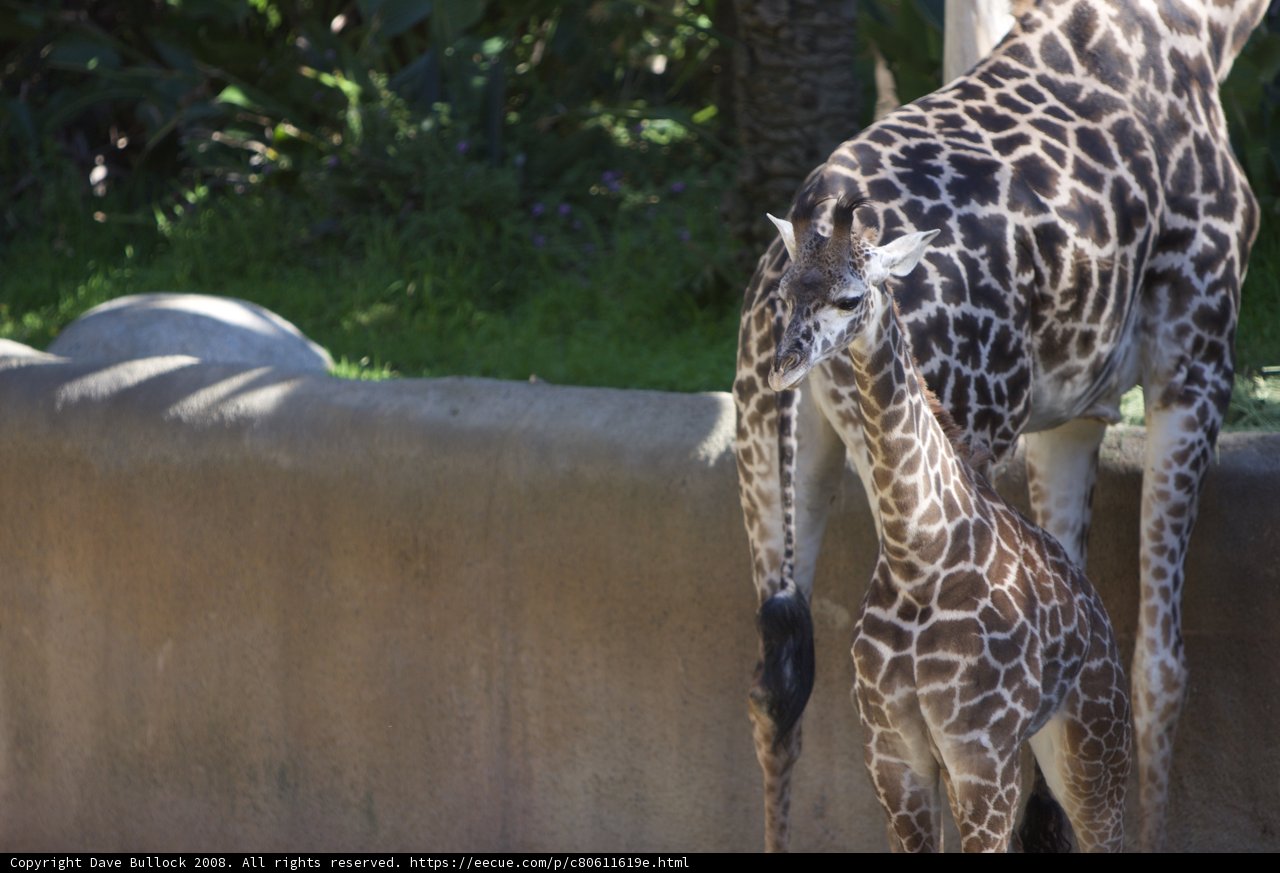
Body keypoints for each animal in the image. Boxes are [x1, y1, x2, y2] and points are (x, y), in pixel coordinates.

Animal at [764, 195, 1131, 852]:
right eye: (784, 291)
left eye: (850, 298)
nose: (785, 366)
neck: (922, 558)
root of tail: (1101, 621)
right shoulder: (891, 755)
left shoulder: (979, 757)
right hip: (1040, 753)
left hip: (1095, 750)